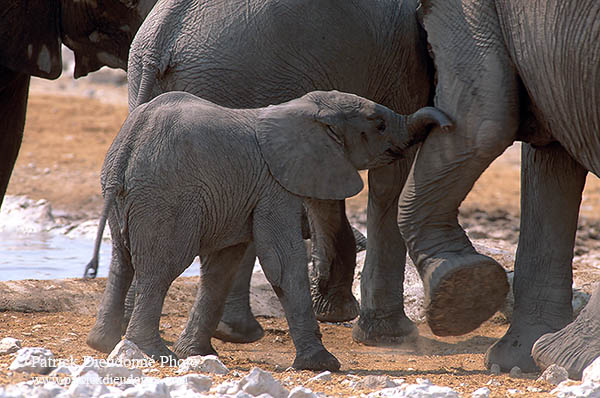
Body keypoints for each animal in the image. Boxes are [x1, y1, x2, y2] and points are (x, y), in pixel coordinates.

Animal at [84, 89, 450, 370]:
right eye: (379, 125)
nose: (447, 123)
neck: (304, 109)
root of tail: (130, 143)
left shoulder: (241, 196)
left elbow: (222, 267)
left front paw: (199, 354)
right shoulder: (276, 186)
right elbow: (282, 263)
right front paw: (322, 365)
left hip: (126, 197)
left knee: (122, 261)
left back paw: (104, 344)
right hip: (165, 199)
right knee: (160, 270)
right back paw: (155, 353)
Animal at [112, 0, 434, 348]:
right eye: (378, 125)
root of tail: (159, 41)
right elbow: (390, 179)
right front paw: (390, 333)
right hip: (237, 86)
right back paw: (235, 333)